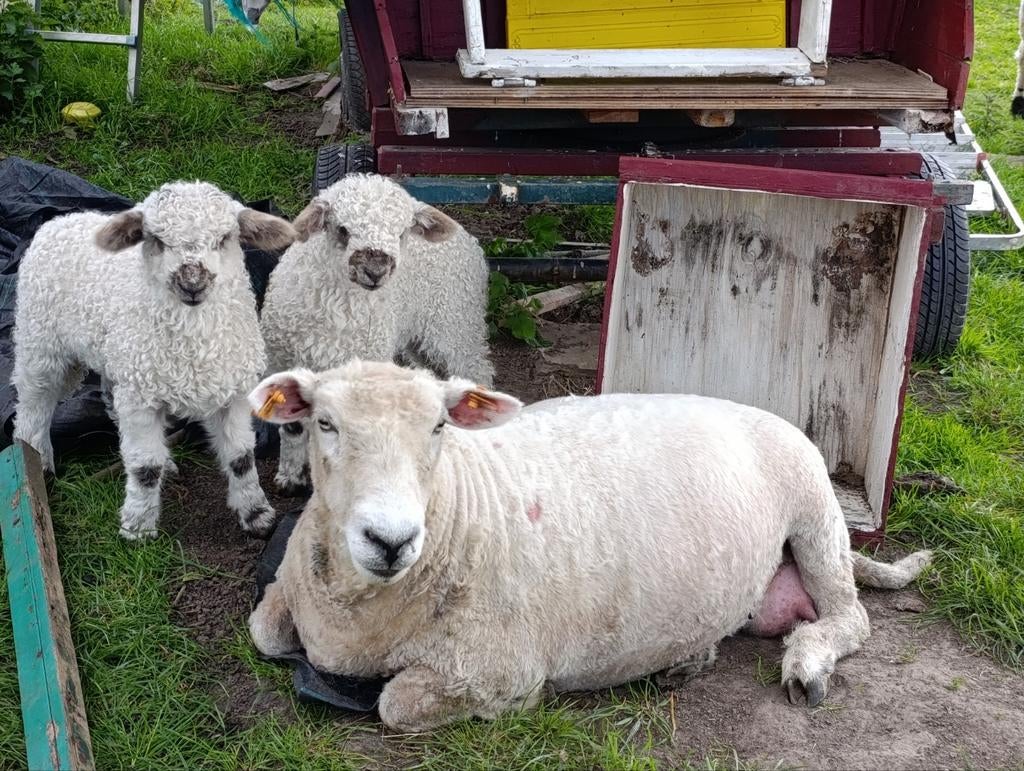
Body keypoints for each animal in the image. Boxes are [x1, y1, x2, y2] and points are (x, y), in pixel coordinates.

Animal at [12, 181, 297, 540]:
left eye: (224, 239)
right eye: (157, 240)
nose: (192, 284)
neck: (194, 343)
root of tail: (58, 221)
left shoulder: (230, 393)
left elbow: (241, 458)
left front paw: (256, 515)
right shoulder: (141, 400)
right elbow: (145, 466)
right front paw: (137, 528)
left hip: (119, 359)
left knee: (108, 396)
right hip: (40, 342)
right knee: (33, 406)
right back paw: (37, 464)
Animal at [247, 361, 932, 732]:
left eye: (439, 426)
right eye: (324, 423)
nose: (390, 539)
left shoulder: (493, 671)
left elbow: (395, 703)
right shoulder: (289, 598)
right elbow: (265, 631)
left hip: (814, 513)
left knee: (851, 617)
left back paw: (807, 662)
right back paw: (690, 656)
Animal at [259, 174, 494, 495]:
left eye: (402, 232)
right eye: (342, 229)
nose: (375, 270)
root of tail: (467, 237)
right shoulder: (283, 363)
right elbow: (293, 427)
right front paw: (290, 476)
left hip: (456, 322)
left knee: (477, 369)